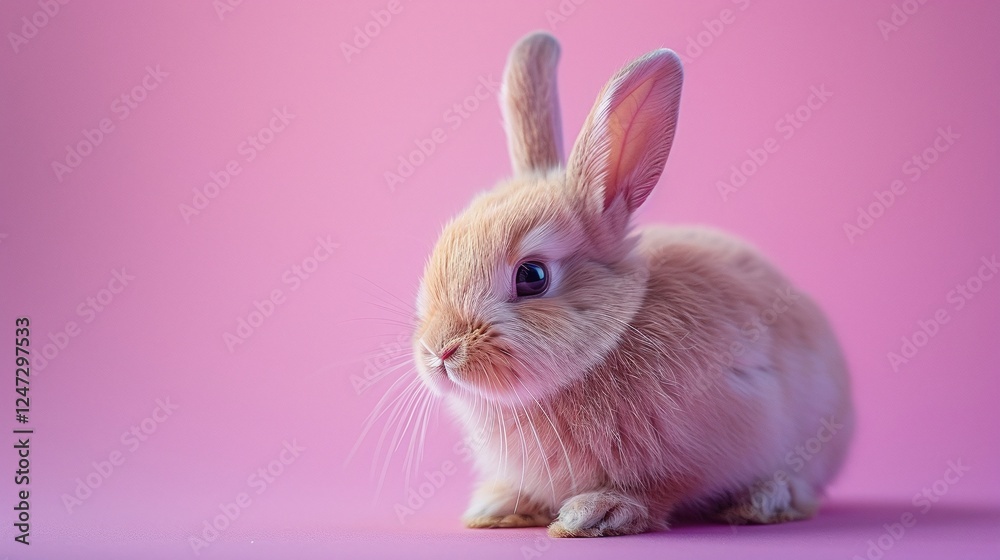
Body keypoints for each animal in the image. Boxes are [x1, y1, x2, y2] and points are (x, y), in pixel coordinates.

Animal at [410, 31, 854, 537]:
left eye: (532, 277)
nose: (439, 351)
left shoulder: (703, 445)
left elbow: (659, 488)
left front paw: (597, 512)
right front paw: (496, 507)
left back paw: (763, 500)